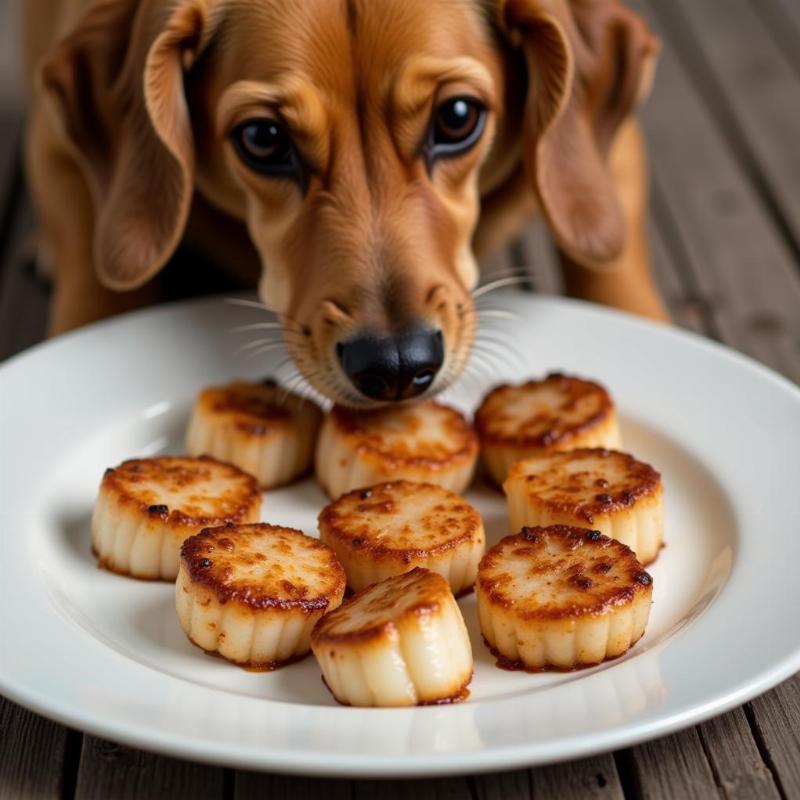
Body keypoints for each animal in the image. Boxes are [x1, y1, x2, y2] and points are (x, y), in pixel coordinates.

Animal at [23, 0, 664, 406]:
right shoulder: (53, 144)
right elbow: (96, 291)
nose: (398, 365)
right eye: (264, 138)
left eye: (458, 117)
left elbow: (612, 265)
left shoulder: (615, 158)